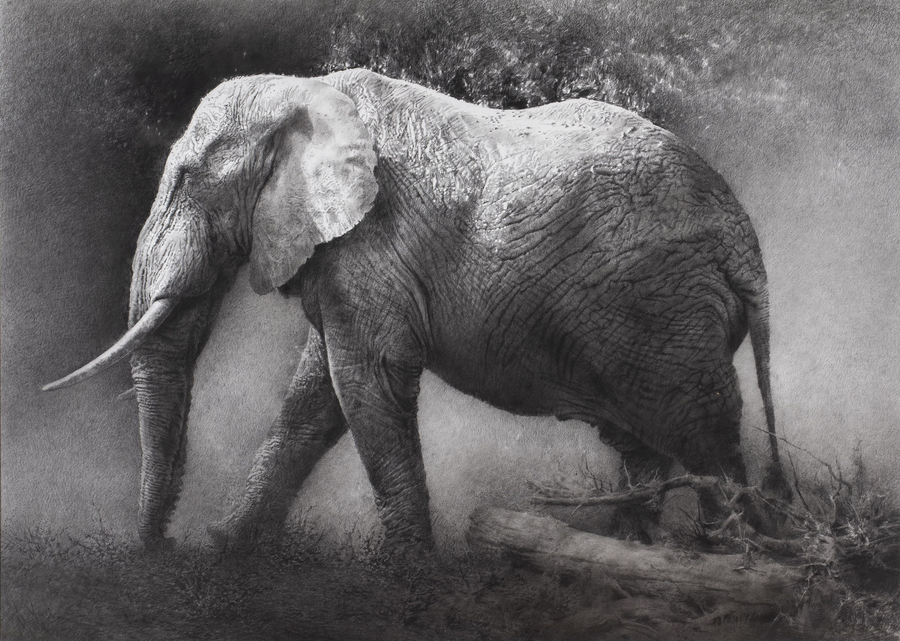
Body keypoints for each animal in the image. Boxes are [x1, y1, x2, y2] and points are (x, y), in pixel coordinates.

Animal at [45, 68, 789, 551]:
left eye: (185, 178)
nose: (158, 550)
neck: (303, 92)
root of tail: (743, 239)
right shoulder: (347, 254)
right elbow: (316, 398)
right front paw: (228, 550)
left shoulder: (373, 237)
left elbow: (365, 381)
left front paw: (412, 578)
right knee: (646, 442)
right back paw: (632, 550)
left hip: (665, 313)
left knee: (704, 440)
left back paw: (728, 560)